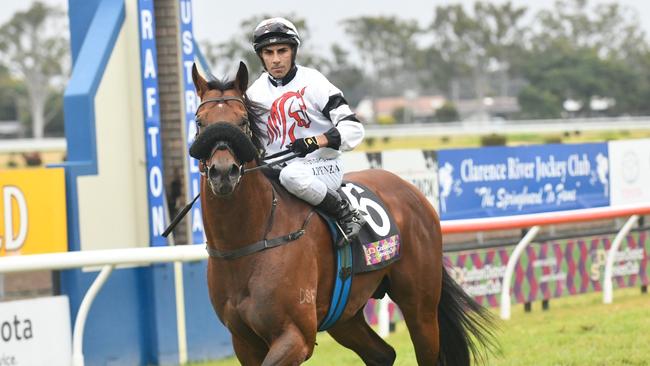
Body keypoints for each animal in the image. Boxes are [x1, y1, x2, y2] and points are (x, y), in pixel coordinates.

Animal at [190, 61, 494, 364]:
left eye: (242, 120)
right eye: (199, 121)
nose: (223, 172)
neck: (250, 240)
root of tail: (413, 192)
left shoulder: (295, 335)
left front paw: (307, 143)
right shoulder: (244, 342)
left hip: (421, 307)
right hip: (345, 315)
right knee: (383, 354)